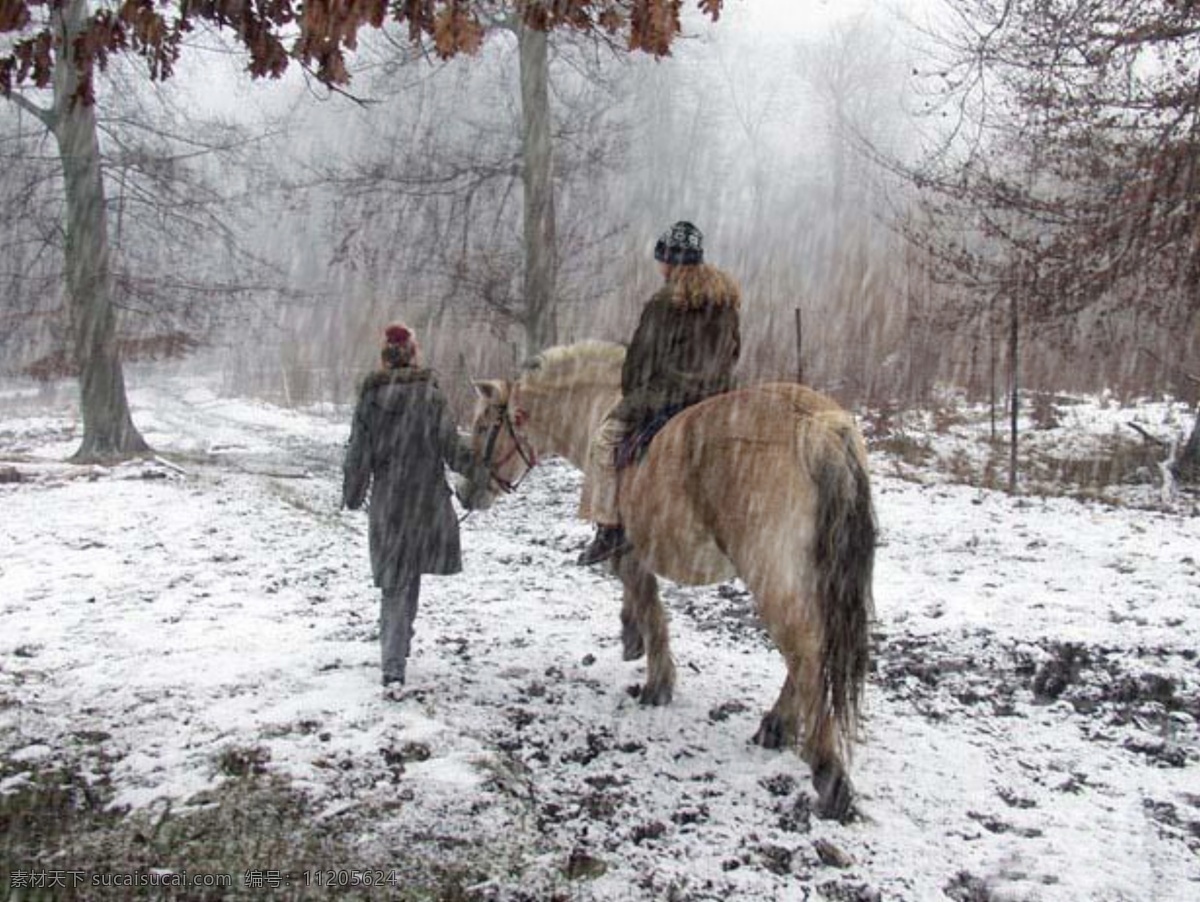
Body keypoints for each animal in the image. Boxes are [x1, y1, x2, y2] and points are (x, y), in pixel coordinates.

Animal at [453, 338, 878, 815]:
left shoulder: (631, 551)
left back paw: (827, 773)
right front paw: (631, 638)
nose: (464, 491)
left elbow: (649, 607)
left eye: (484, 424)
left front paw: (656, 683)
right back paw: (778, 727)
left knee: (804, 650)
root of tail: (817, 425)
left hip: (773, 576)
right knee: (811, 648)